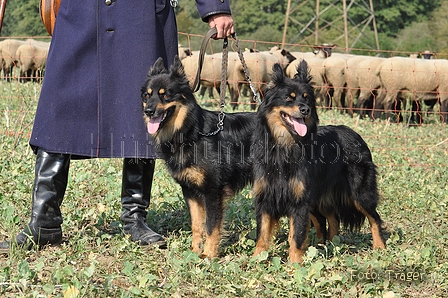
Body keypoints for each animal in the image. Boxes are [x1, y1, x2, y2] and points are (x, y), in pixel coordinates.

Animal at [142, 56, 258, 258]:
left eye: (165, 95)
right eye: (147, 96)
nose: (148, 111)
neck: (192, 133)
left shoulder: (213, 191)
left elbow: (211, 226)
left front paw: (208, 255)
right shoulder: (190, 191)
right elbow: (197, 224)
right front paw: (194, 251)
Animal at [252, 60, 384, 264]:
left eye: (307, 99)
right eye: (289, 98)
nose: (305, 109)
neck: (285, 146)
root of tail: (355, 135)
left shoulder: (300, 201)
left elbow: (297, 236)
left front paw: (295, 263)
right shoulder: (266, 196)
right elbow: (262, 233)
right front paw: (257, 258)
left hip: (358, 194)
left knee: (374, 218)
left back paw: (380, 247)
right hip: (318, 197)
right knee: (329, 220)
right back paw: (327, 245)